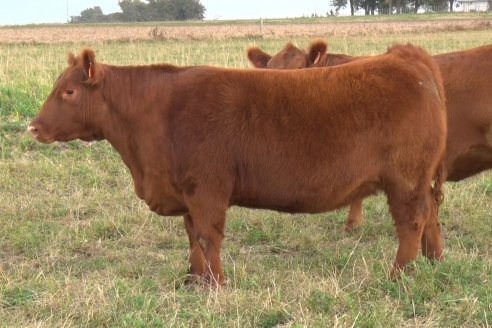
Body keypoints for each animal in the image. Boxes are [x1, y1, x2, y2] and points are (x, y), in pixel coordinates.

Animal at [28, 44, 448, 286]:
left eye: (69, 91)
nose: (33, 126)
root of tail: (408, 59)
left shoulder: (207, 189)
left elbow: (207, 236)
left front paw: (216, 285)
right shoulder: (186, 192)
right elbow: (191, 237)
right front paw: (193, 280)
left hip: (405, 178)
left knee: (411, 221)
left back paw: (398, 275)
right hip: (417, 179)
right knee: (430, 212)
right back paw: (433, 261)